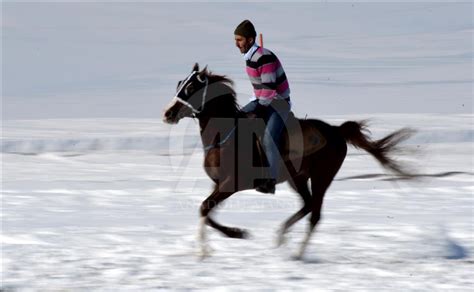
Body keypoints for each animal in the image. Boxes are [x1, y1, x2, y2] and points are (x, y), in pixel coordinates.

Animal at [163, 63, 414, 258]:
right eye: (179, 84)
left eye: (192, 88)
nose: (167, 113)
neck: (226, 135)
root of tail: (336, 131)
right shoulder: (218, 183)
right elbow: (206, 212)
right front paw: (232, 236)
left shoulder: (232, 184)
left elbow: (205, 208)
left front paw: (214, 245)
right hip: (298, 178)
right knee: (307, 205)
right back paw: (281, 237)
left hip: (321, 177)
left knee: (315, 214)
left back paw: (297, 254)